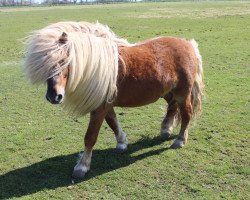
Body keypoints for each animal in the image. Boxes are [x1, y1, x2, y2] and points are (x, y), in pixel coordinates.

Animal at [23, 21, 204, 180]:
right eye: (44, 66)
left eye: (63, 61)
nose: (54, 97)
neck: (97, 66)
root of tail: (189, 45)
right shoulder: (105, 105)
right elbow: (113, 122)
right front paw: (122, 143)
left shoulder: (100, 107)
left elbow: (90, 137)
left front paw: (82, 166)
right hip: (167, 91)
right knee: (172, 106)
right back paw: (166, 130)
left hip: (182, 93)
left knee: (186, 114)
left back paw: (179, 140)